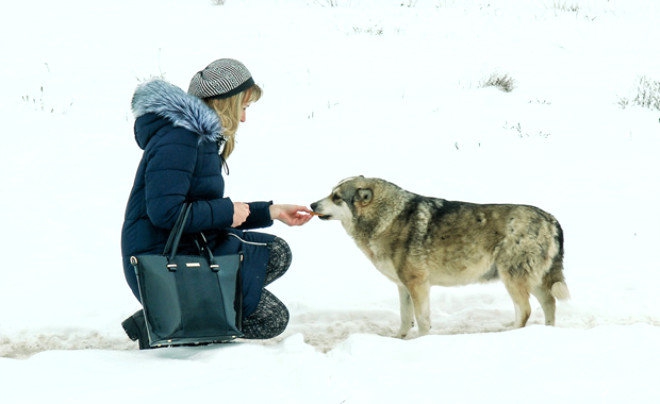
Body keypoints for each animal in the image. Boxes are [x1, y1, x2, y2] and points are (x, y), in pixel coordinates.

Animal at [312, 177, 568, 338]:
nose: (312, 204)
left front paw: (422, 342)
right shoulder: (403, 286)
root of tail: (551, 218)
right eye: (331, 193)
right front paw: (399, 338)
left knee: (525, 310)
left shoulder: (418, 284)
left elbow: (422, 320)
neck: (387, 219)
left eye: (336, 197)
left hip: (513, 279)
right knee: (549, 303)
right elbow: (405, 317)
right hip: (533, 280)